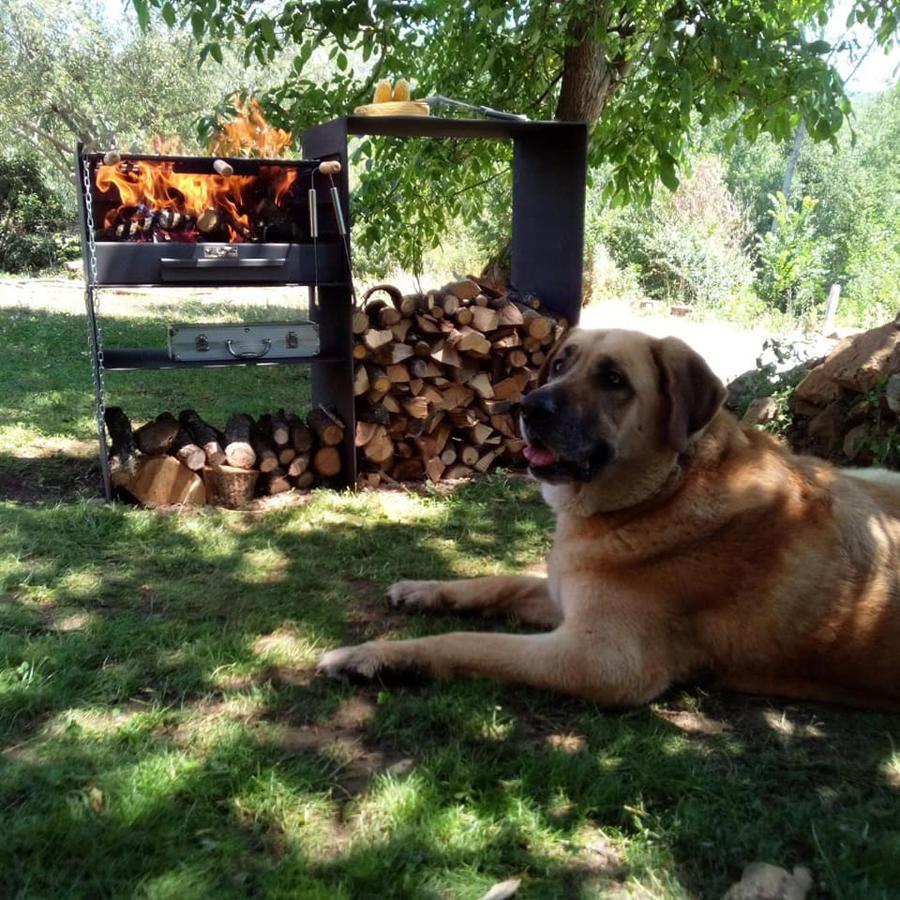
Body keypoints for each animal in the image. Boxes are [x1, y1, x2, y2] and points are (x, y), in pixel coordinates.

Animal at [320, 328, 900, 712]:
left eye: (614, 379)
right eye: (560, 365)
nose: (527, 408)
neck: (662, 491)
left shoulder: (597, 658)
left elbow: (468, 643)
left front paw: (372, 657)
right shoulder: (563, 594)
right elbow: (497, 581)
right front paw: (423, 590)